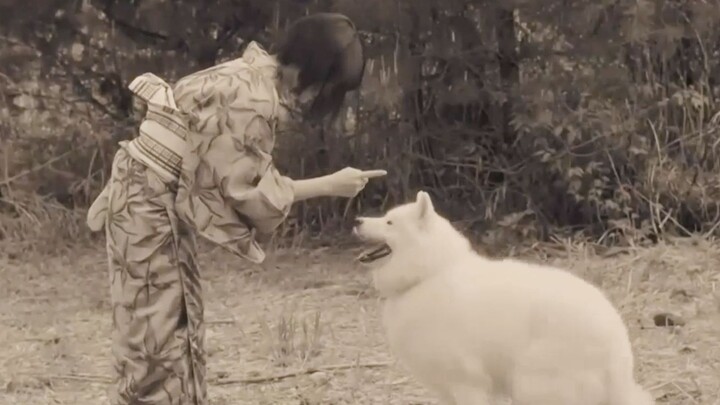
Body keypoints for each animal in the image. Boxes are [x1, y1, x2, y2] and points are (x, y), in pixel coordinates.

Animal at [352, 190, 656, 404]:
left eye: (389, 222)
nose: (357, 220)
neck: (429, 273)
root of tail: (618, 353)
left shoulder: (466, 382)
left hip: (535, 385)